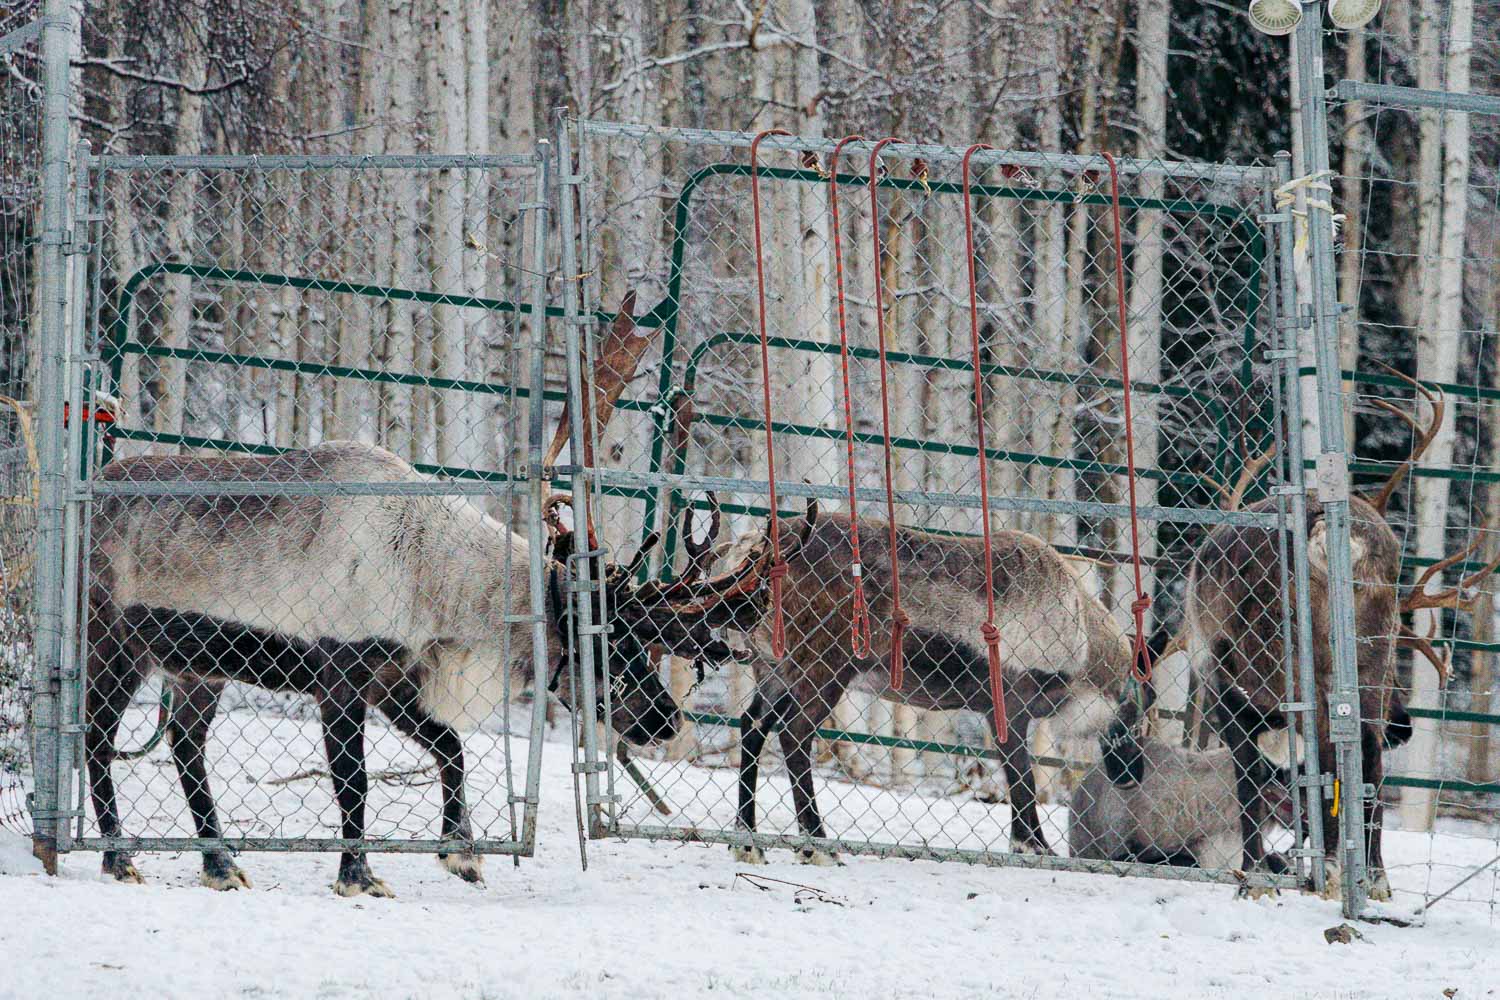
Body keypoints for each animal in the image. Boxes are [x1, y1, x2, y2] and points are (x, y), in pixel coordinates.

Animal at [82, 294, 728, 898]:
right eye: (613, 644)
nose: (667, 720)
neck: (436, 577)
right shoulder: (342, 672)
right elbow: (354, 782)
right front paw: (358, 876)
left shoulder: (397, 679)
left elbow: (451, 748)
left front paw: (461, 853)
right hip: (113, 643)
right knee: (97, 739)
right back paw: (119, 858)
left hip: (197, 664)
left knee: (185, 744)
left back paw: (220, 865)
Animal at [1182, 368, 1493, 898]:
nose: (1404, 727)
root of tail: (1328, 531)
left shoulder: (1229, 691)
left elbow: (1251, 786)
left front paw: (1254, 874)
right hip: (1365, 653)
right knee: (1368, 762)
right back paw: (1374, 879)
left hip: (1296, 663)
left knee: (1336, 755)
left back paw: (1330, 872)